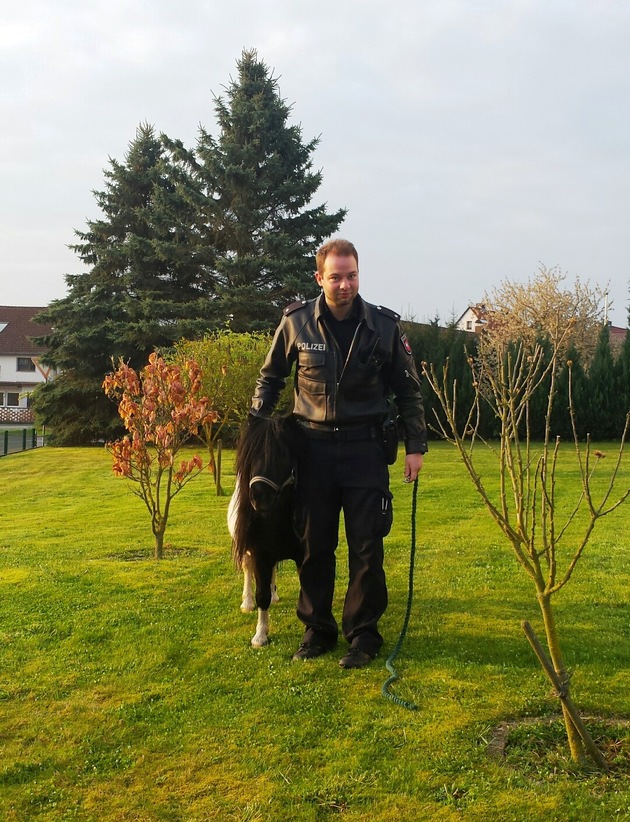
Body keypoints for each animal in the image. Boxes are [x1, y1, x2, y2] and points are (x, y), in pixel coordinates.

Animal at [228, 422, 304, 648]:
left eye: (282, 454)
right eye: (250, 456)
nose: (259, 497)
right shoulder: (259, 554)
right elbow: (262, 594)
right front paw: (260, 635)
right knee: (248, 570)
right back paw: (247, 602)